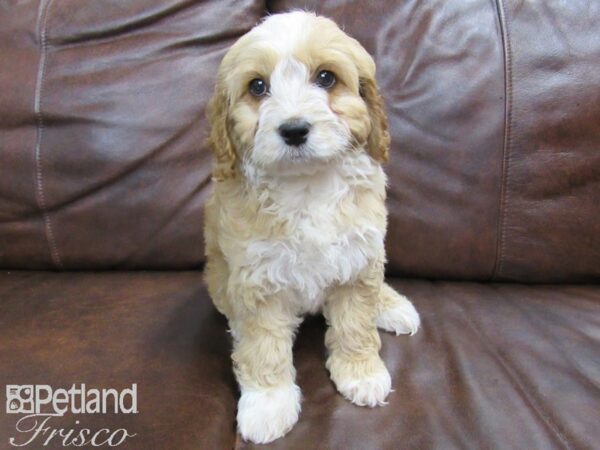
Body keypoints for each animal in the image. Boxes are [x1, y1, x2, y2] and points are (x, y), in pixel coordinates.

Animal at [204, 11, 420, 446]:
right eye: (257, 86)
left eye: (325, 78)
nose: (293, 130)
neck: (306, 187)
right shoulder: (257, 280)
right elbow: (264, 345)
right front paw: (268, 404)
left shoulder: (358, 261)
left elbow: (356, 324)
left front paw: (361, 373)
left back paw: (392, 306)